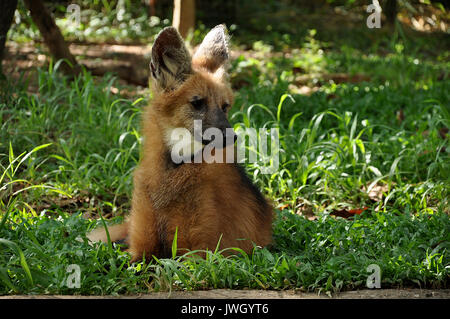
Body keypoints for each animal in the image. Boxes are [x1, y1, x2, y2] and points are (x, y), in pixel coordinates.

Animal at [86, 24, 272, 260]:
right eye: (197, 103)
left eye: (225, 107)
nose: (232, 137)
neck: (175, 168)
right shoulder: (140, 246)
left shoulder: (196, 254)